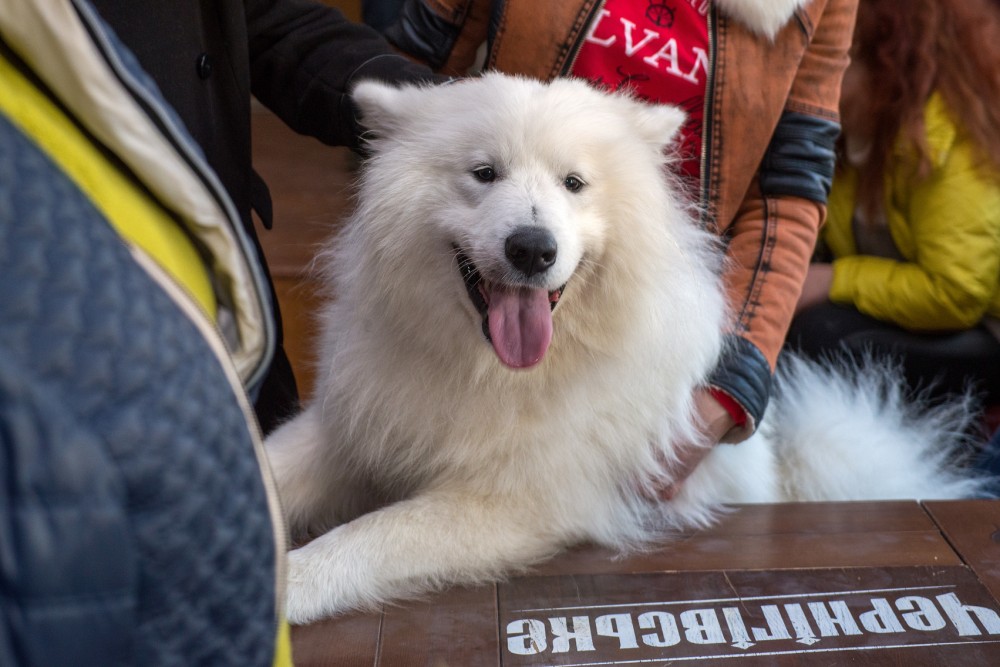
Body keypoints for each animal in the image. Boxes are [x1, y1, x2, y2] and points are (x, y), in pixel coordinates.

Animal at [265, 73, 988, 624]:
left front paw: (289, 586)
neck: (489, 369)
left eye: (574, 184)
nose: (533, 248)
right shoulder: (352, 428)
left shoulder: (517, 499)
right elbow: (272, 466)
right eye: (484, 173)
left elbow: (371, 534)